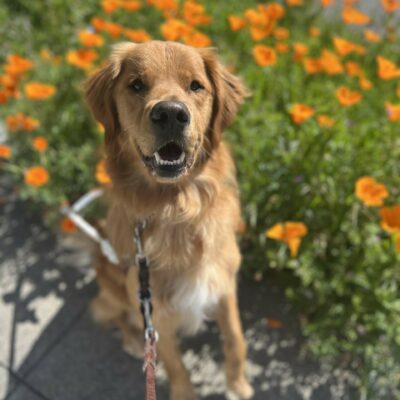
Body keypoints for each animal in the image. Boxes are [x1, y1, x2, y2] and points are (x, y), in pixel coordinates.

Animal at [84, 41, 253, 400]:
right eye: (136, 85)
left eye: (195, 86)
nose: (171, 114)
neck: (176, 207)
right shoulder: (153, 310)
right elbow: (175, 363)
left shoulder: (223, 282)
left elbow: (235, 338)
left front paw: (237, 384)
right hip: (117, 291)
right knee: (113, 314)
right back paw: (133, 341)